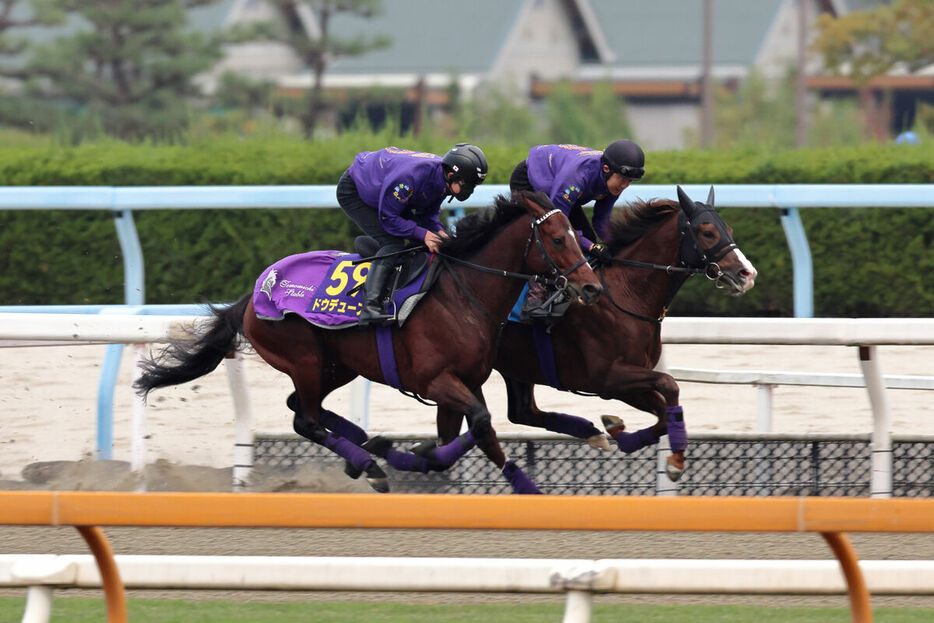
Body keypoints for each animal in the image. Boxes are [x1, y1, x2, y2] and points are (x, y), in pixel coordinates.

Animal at [137, 193, 608, 494]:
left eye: (576, 234)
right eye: (558, 239)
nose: (592, 287)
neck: (462, 295)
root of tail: (255, 294)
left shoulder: (463, 384)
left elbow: (457, 439)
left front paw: (408, 452)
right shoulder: (435, 380)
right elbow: (481, 424)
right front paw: (526, 486)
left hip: (336, 366)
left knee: (301, 408)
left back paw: (364, 447)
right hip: (304, 356)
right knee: (306, 421)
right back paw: (367, 463)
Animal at [436, 185, 756, 492]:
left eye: (729, 228)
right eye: (708, 232)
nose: (747, 273)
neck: (626, 294)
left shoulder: (628, 383)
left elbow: (665, 414)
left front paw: (619, 431)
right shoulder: (607, 378)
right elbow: (670, 385)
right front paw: (674, 461)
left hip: (516, 368)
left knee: (521, 412)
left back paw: (590, 433)